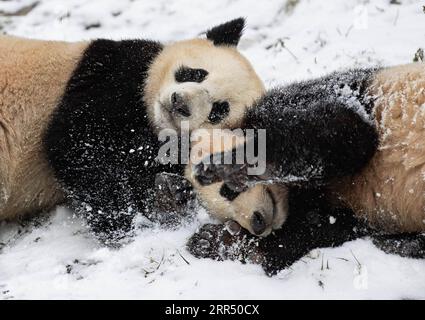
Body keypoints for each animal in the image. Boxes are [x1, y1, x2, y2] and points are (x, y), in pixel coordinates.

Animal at [0, 18, 264, 242]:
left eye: (218, 111)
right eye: (196, 73)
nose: (179, 104)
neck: (148, 115)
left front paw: (169, 196)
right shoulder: (108, 77)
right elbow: (78, 144)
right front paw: (123, 223)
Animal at [186, 62, 424, 276]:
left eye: (228, 191)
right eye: (231, 218)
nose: (257, 225)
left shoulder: (312, 98)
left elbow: (344, 130)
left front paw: (228, 166)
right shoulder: (345, 212)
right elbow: (316, 230)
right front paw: (214, 241)